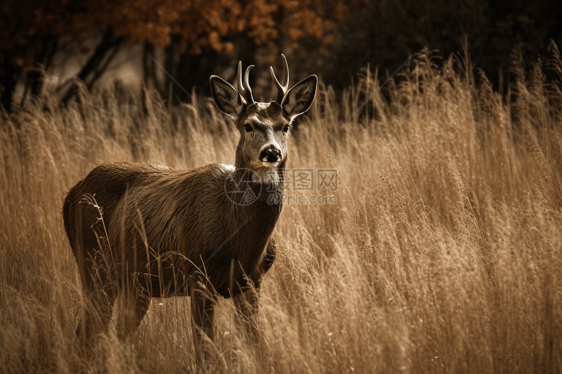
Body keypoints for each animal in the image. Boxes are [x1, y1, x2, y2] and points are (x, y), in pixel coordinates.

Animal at [62, 54, 316, 364]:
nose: (271, 152)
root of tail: (71, 194)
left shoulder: (251, 282)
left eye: (285, 126)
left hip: (134, 283)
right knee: (88, 331)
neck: (242, 243)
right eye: (248, 125)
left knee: (111, 335)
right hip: (94, 264)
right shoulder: (198, 276)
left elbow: (257, 347)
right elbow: (205, 354)